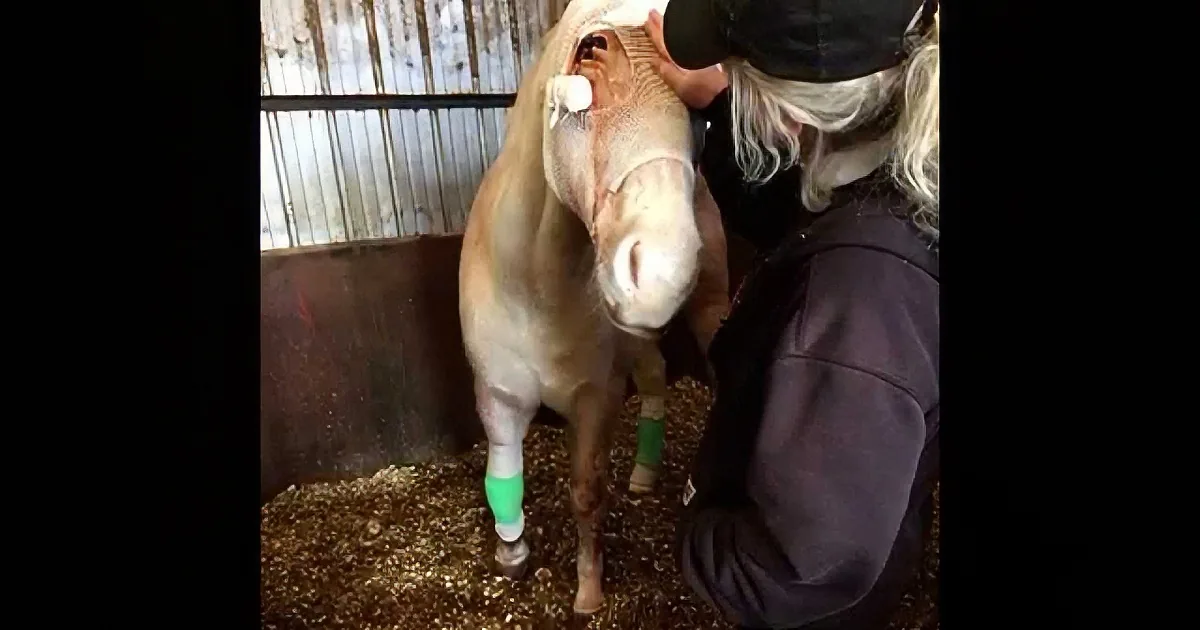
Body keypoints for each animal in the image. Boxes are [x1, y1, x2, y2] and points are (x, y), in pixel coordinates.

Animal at [458, 0, 729, 614]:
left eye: (699, 121)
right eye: (592, 52)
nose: (661, 271)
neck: (536, 288)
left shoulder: (595, 399)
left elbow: (586, 492)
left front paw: (587, 589)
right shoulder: (496, 393)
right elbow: (501, 472)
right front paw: (511, 552)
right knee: (653, 376)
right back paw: (645, 472)